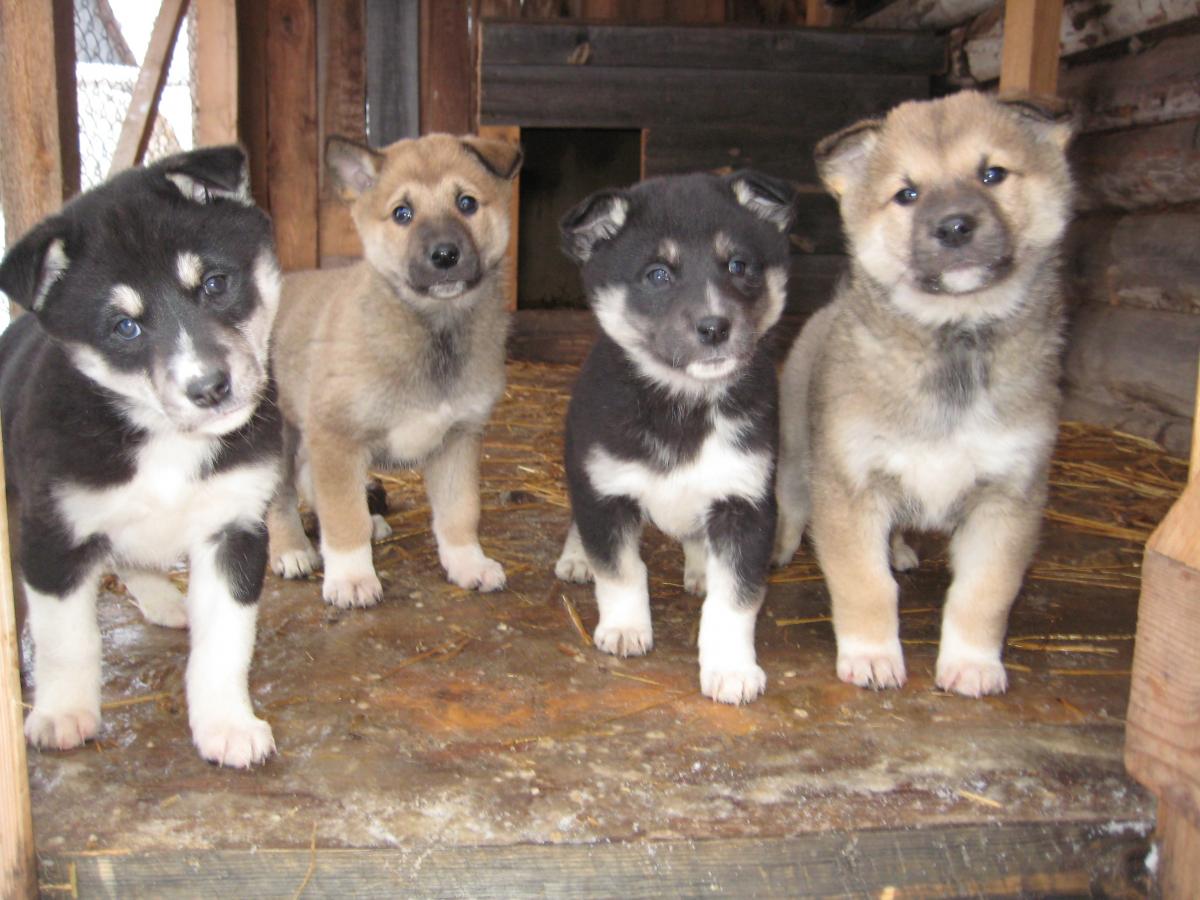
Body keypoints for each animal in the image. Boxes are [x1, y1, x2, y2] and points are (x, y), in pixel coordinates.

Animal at [0, 146, 283, 768]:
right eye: (124, 326)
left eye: (215, 283)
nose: (209, 388)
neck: (165, 438)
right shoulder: (54, 533)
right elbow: (67, 641)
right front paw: (62, 714)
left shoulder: (234, 530)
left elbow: (225, 646)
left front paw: (226, 725)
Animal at [267, 133, 520, 609]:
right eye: (403, 213)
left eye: (466, 203)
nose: (445, 255)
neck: (433, 334)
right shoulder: (337, 435)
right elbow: (342, 516)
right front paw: (350, 577)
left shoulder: (458, 439)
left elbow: (460, 513)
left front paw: (468, 564)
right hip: (279, 435)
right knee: (282, 496)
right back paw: (291, 550)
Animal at [554, 172, 796, 710]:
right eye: (658, 274)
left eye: (739, 265)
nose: (715, 327)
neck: (684, 403)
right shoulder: (605, 489)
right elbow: (621, 570)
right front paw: (625, 629)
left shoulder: (746, 503)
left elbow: (735, 599)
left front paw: (730, 669)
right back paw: (576, 558)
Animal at [777, 91, 1080, 696]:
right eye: (907, 194)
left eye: (993, 174)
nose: (955, 226)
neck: (954, 341)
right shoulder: (851, 487)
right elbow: (865, 585)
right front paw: (872, 656)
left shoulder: (1009, 498)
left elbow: (983, 594)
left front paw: (973, 664)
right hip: (801, 456)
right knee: (793, 507)